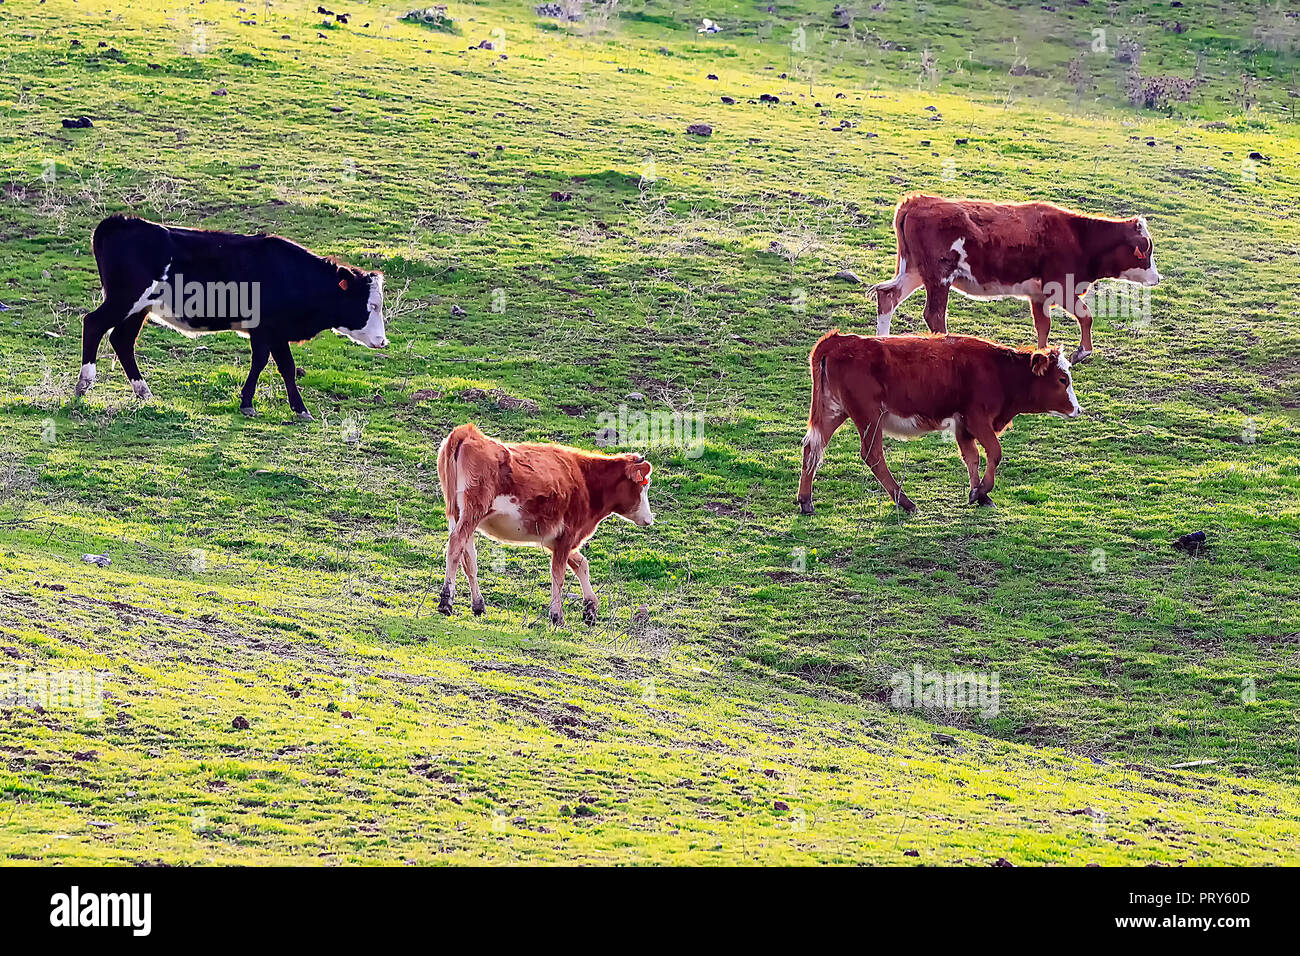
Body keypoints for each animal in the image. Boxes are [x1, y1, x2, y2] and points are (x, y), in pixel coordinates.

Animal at [75, 215, 388, 419]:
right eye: (371, 306)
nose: (382, 341)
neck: (293, 276)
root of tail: (121, 221)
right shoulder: (269, 328)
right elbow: (277, 365)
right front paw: (287, 407)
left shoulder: (268, 332)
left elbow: (275, 364)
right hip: (124, 299)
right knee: (94, 324)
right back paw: (84, 384)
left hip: (138, 308)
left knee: (122, 340)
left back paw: (144, 393)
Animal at [436, 424, 656, 626]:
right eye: (644, 485)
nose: (649, 519)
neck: (585, 480)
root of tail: (467, 432)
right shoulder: (568, 533)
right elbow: (559, 574)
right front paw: (557, 616)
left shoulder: (554, 538)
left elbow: (581, 564)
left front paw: (590, 608)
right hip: (473, 511)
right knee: (456, 545)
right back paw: (446, 602)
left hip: (458, 513)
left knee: (468, 558)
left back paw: (478, 605)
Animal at [796, 330, 1082, 515]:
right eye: (1062, 380)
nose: (1078, 409)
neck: (1000, 371)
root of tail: (837, 341)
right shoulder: (977, 419)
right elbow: (994, 452)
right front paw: (983, 491)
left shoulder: (963, 425)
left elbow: (972, 457)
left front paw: (978, 494)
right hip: (868, 416)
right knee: (872, 455)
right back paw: (905, 502)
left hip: (833, 412)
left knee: (812, 448)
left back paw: (806, 501)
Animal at [871, 194, 1162, 364]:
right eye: (1147, 249)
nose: (1157, 277)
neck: (1078, 237)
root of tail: (916, 201)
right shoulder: (1062, 287)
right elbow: (1086, 315)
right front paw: (1083, 351)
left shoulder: (1039, 294)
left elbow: (1043, 326)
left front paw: (1045, 356)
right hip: (939, 277)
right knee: (934, 314)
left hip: (914, 272)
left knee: (888, 297)